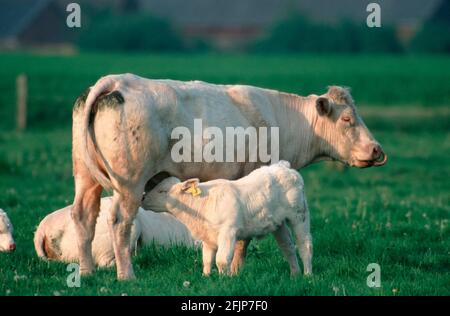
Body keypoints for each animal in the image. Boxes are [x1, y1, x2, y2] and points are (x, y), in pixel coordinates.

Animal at [142, 162, 312, 276]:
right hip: (279, 223)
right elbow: (207, 260)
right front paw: (206, 277)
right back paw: (295, 274)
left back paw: (307, 275)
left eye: (162, 191)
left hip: (299, 215)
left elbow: (222, 260)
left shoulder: (228, 232)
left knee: (305, 245)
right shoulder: (208, 237)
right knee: (288, 246)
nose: (143, 198)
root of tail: (283, 166)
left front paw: (225, 280)